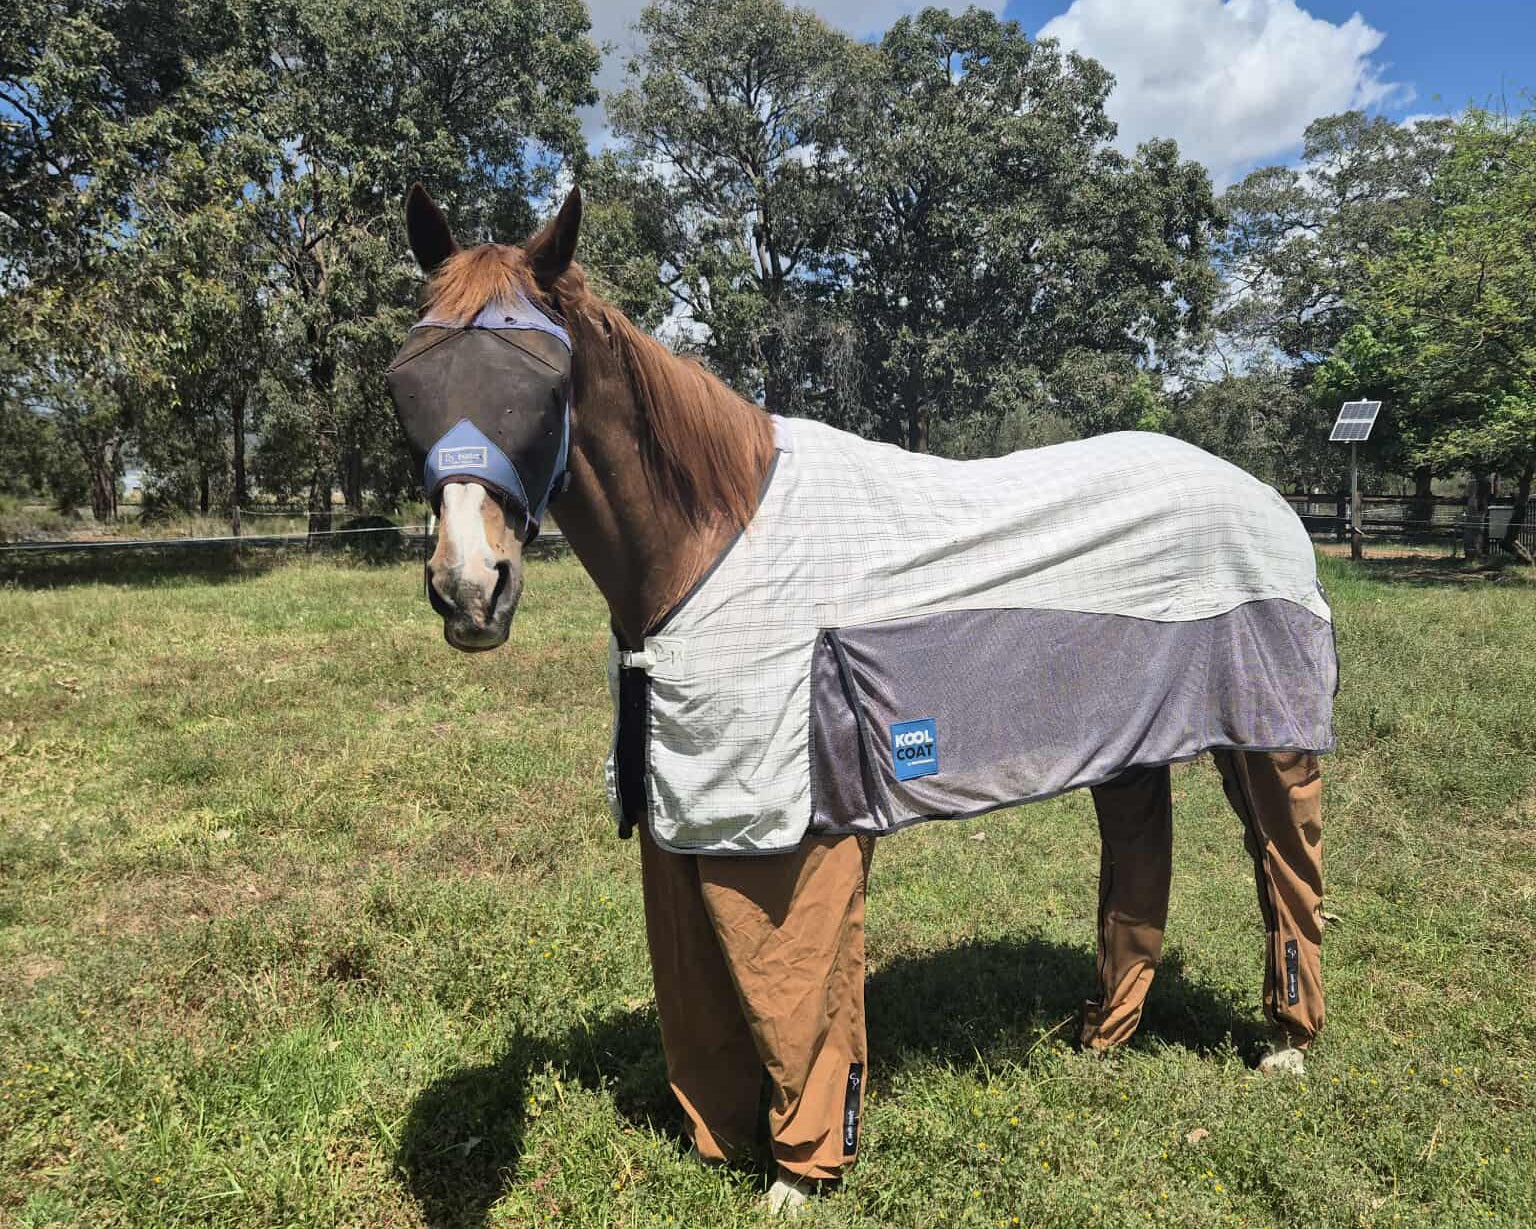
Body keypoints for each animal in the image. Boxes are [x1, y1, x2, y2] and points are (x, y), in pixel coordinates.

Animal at [387, 185, 1333, 1215]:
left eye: (545, 384)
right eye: (409, 379)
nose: (468, 589)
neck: (707, 543)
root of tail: (1269, 496)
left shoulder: (797, 842)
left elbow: (798, 1005)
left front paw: (797, 1179)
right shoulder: (683, 821)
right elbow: (697, 1000)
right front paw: (717, 1148)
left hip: (1271, 739)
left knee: (1288, 865)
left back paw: (1288, 1046)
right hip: (1127, 744)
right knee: (1139, 862)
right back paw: (1103, 1038)